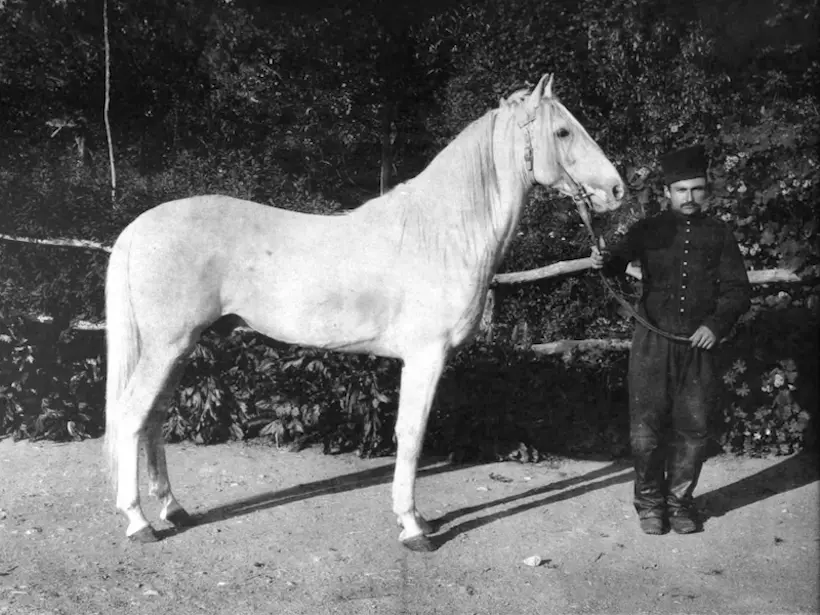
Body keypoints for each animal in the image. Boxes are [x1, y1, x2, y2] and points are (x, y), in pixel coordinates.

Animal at [104, 74, 625, 551]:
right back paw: (138, 522)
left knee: (153, 418)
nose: (618, 190)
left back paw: (173, 508)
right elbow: (411, 435)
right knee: (131, 415)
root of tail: (138, 226)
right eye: (563, 131)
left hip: (178, 347)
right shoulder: (426, 357)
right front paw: (414, 528)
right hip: (167, 345)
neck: (440, 234)